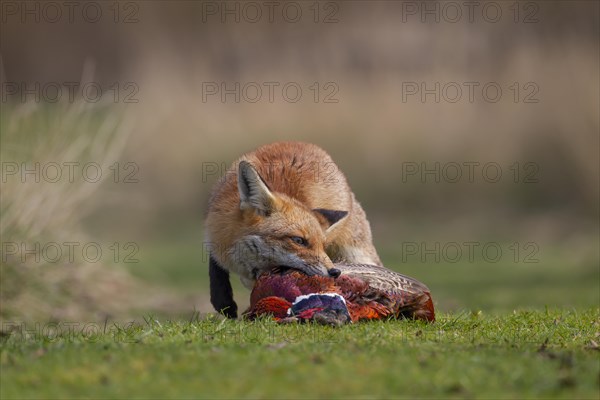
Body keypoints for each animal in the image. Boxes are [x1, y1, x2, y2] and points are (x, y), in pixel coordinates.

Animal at [204, 142, 382, 318]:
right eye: (298, 241)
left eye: (322, 245)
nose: (335, 272)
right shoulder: (215, 231)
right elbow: (215, 266)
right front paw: (224, 301)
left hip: (358, 255)